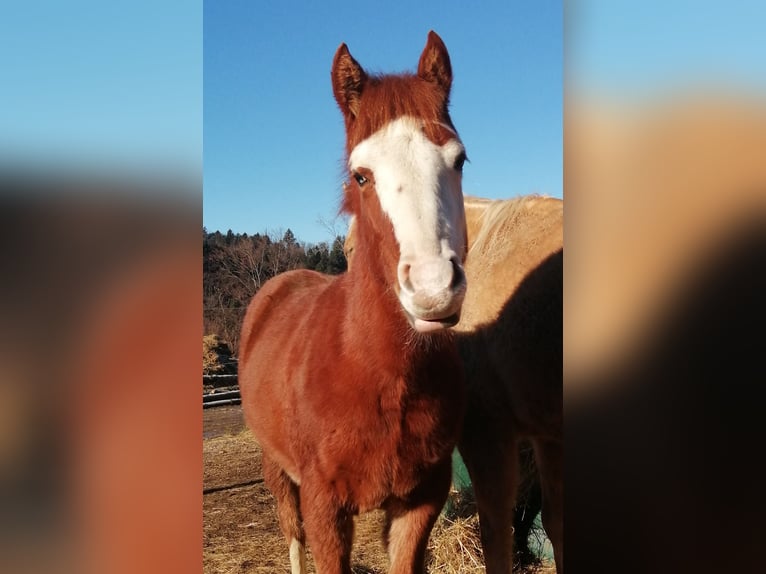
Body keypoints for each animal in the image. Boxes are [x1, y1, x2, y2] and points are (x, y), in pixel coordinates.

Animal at [238, 32, 468, 574]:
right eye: (362, 176)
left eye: (459, 160)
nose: (433, 287)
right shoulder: (325, 507)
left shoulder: (421, 501)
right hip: (278, 472)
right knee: (292, 535)